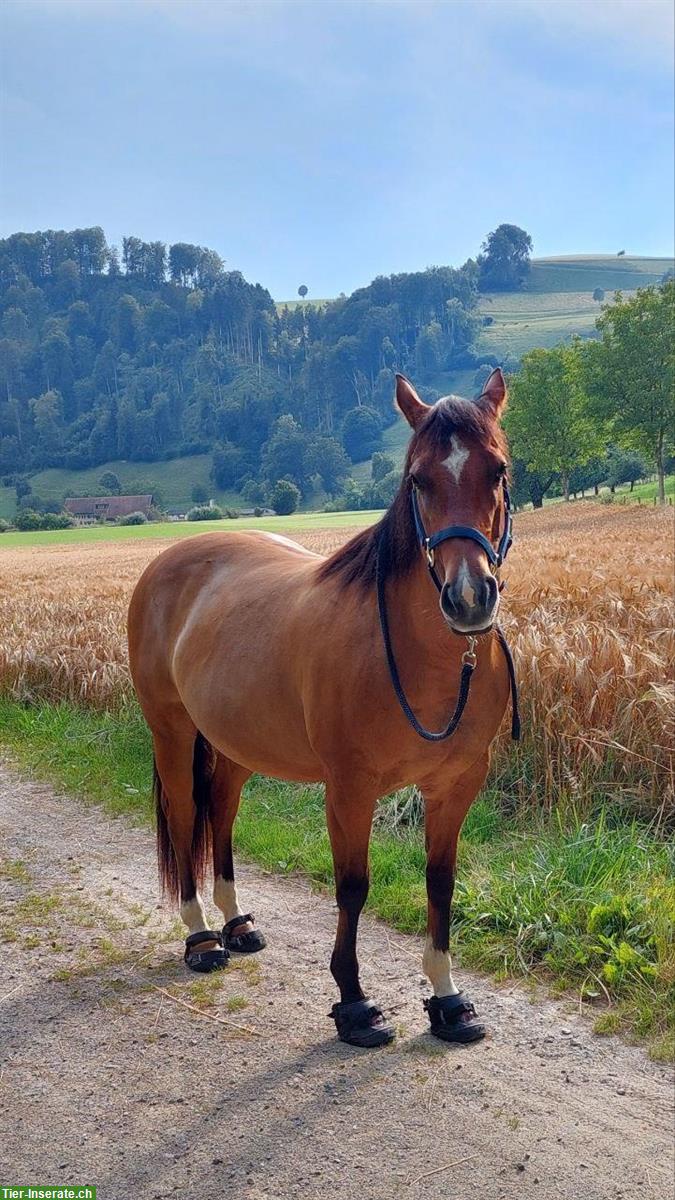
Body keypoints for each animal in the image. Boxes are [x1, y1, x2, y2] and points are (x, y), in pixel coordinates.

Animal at [128, 369, 511, 1046]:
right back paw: (201, 938)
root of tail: (166, 561)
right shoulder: (349, 788)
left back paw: (237, 923)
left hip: (236, 742)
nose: (468, 598)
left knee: (221, 810)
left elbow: (440, 882)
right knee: (183, 817)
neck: (421, 658)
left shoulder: (456, 785)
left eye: (497, 469)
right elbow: (353, 888)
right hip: (171, 733)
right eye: (418, 480)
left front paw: (447, 1000)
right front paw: (354, 1004)